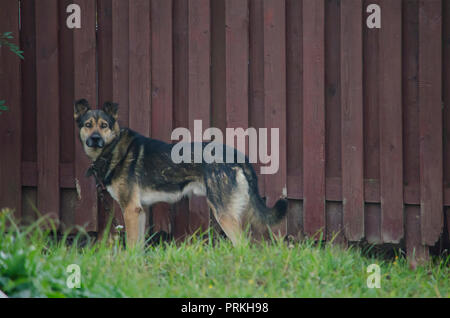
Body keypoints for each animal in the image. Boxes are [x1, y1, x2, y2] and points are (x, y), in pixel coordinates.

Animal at [72, 99, 286, 246]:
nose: (95, 139)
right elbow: (138, 247)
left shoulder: (130, 210)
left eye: (104, 125)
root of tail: (237, 155)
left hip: (224, 214)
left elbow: (131, 247)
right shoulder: (139, 211)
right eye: (88, 125)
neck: (113, 147)